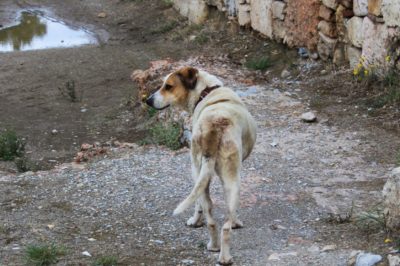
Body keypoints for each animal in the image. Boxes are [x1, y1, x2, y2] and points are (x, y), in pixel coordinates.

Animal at [146, 66, 256, 264]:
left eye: (168, 86)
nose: (148, 100)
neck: (207, 92)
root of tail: (215, 125)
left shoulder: (200, 174)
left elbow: (199, 203)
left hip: (203, 171)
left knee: (213, 220)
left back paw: (216, 249)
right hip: (228, 179)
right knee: (223, 224)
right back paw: (222, 253)